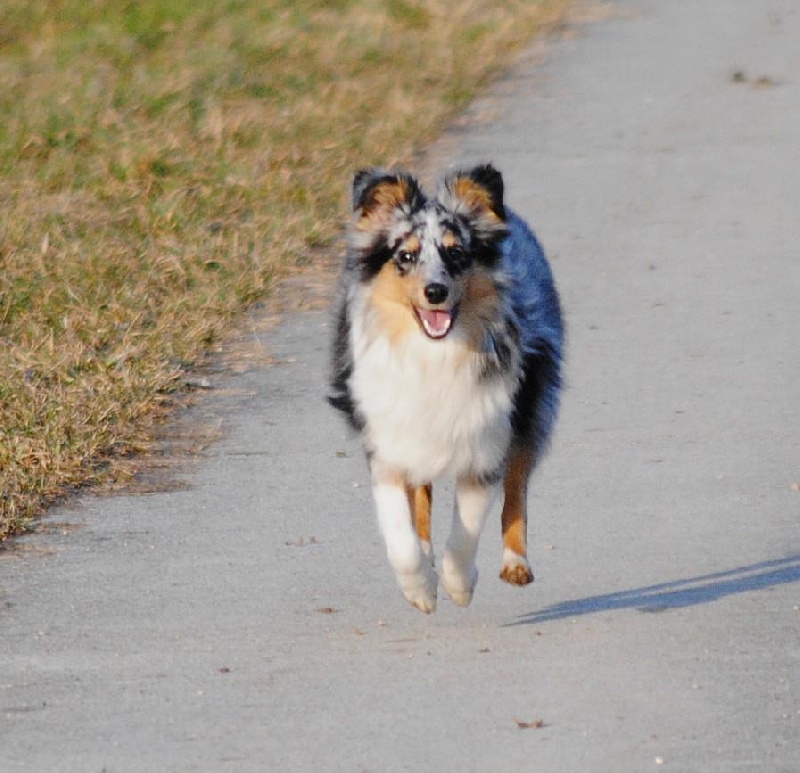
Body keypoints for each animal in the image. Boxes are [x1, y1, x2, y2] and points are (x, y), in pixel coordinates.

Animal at [326, 166, 564, 612]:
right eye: (405, 256)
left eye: (456, 253)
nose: (434, 292)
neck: (433, 354)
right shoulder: (388, 444)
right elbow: (401, 535)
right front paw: (420, 588)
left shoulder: (485, 443)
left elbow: (464, 535)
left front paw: (459, 585)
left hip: (531, 404)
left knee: (517, 483)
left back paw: (515, 562)